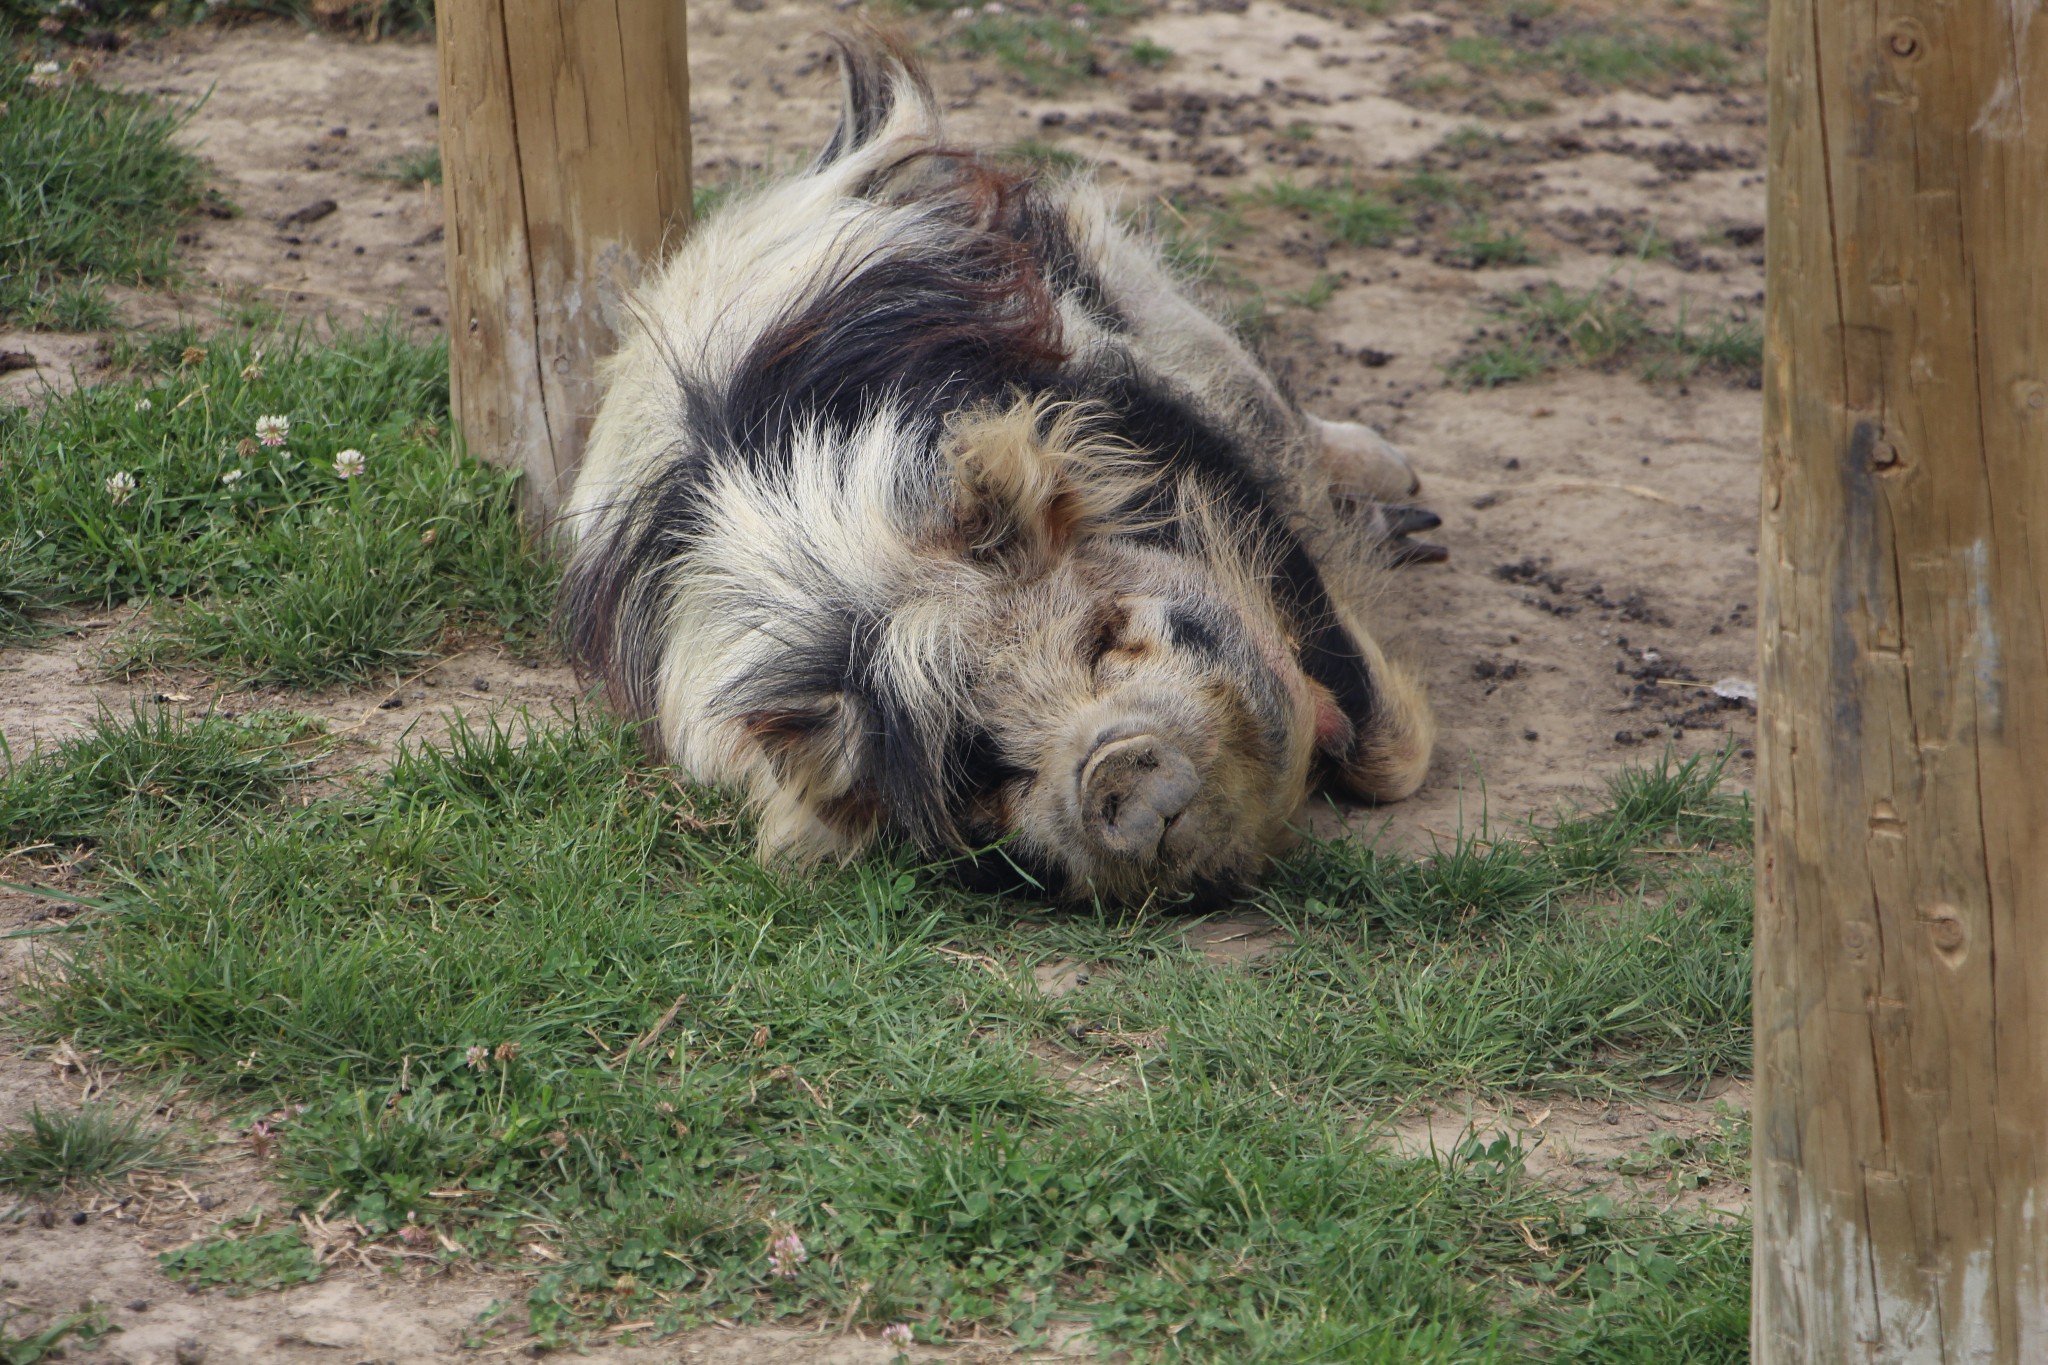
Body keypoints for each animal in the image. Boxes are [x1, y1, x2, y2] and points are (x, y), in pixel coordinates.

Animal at [561, 29, 1449, 908]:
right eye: (991, 770)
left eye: (1104, 638)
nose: (1111, 770)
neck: (856, 581)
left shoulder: (1202, 462)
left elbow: (1387, 751)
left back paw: (1409, 503)